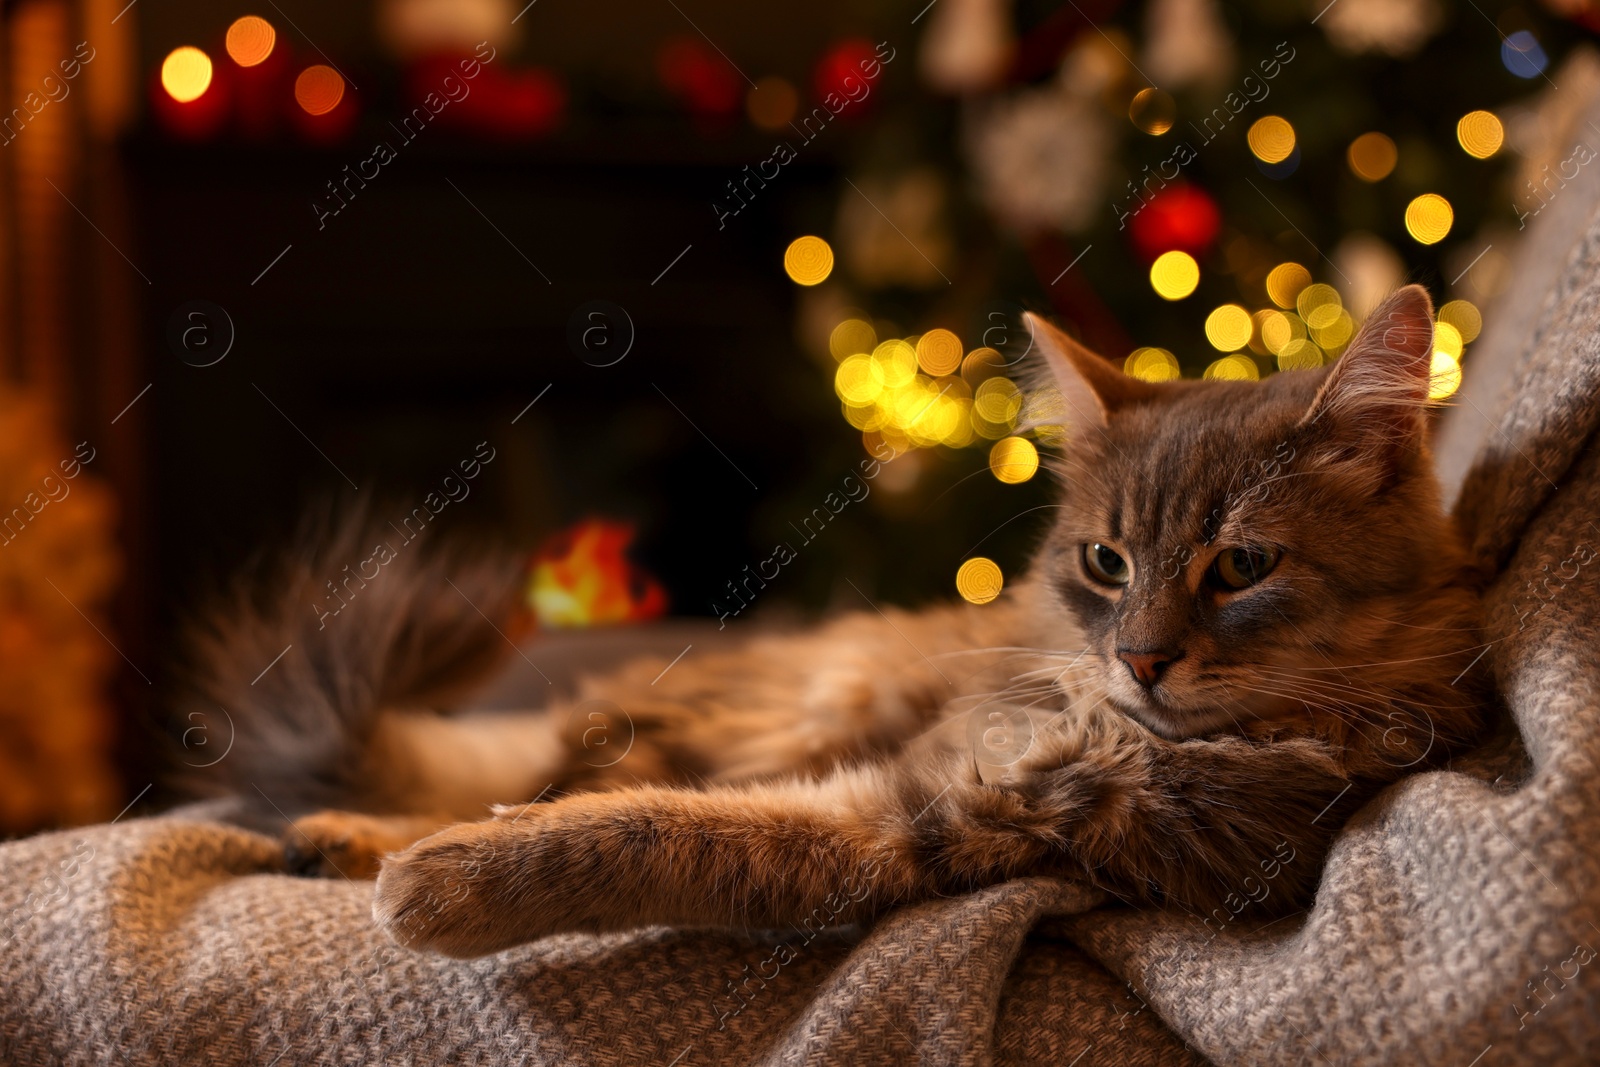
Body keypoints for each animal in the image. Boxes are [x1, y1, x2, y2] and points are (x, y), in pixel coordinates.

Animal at [184, 283, 1484, 959]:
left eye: (1242, 565)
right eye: (1106, 561)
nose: (1141, 657)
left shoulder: (923, 825)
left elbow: (660, 829)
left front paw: (447, 886)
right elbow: (628, 809)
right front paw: (430, 863)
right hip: (809, 704)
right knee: (545, 768)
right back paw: (343, 833)